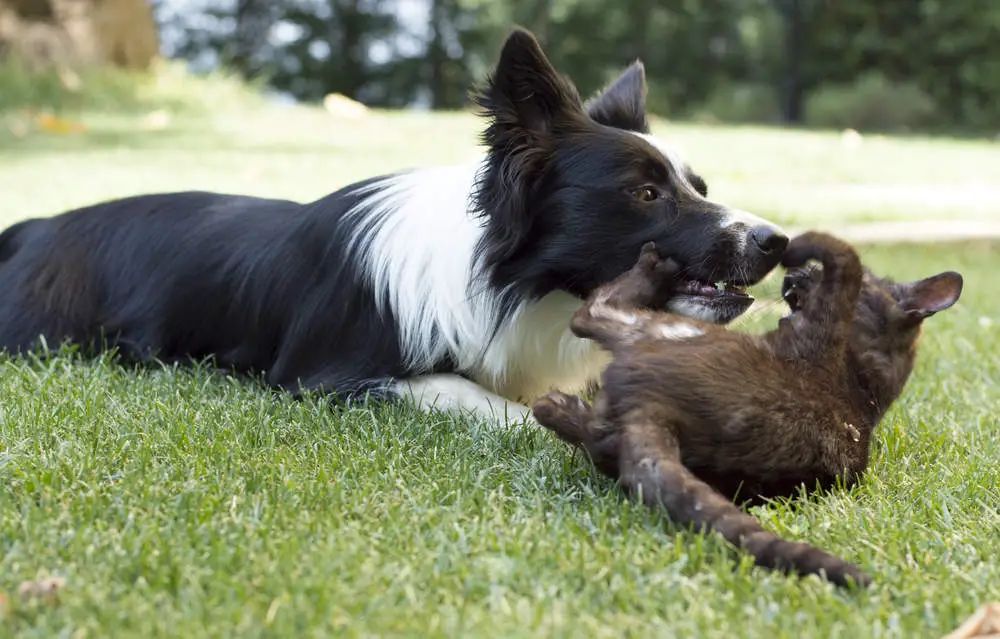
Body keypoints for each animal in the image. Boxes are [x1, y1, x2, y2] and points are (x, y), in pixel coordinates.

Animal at [0, 27, 784, 424]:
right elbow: (484, 398)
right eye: (646, 193)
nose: (775, 241)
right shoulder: (328, 376)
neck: (512, 283)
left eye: (698, 188)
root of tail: (35, 227)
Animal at [536, 232, 964, 588]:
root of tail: (656, 412)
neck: (866, 384)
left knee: (590, 314)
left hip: (656, 328)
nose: (793, 275)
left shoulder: (830, 306)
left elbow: (843, 256)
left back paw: (653, 267)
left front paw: (799, 248)